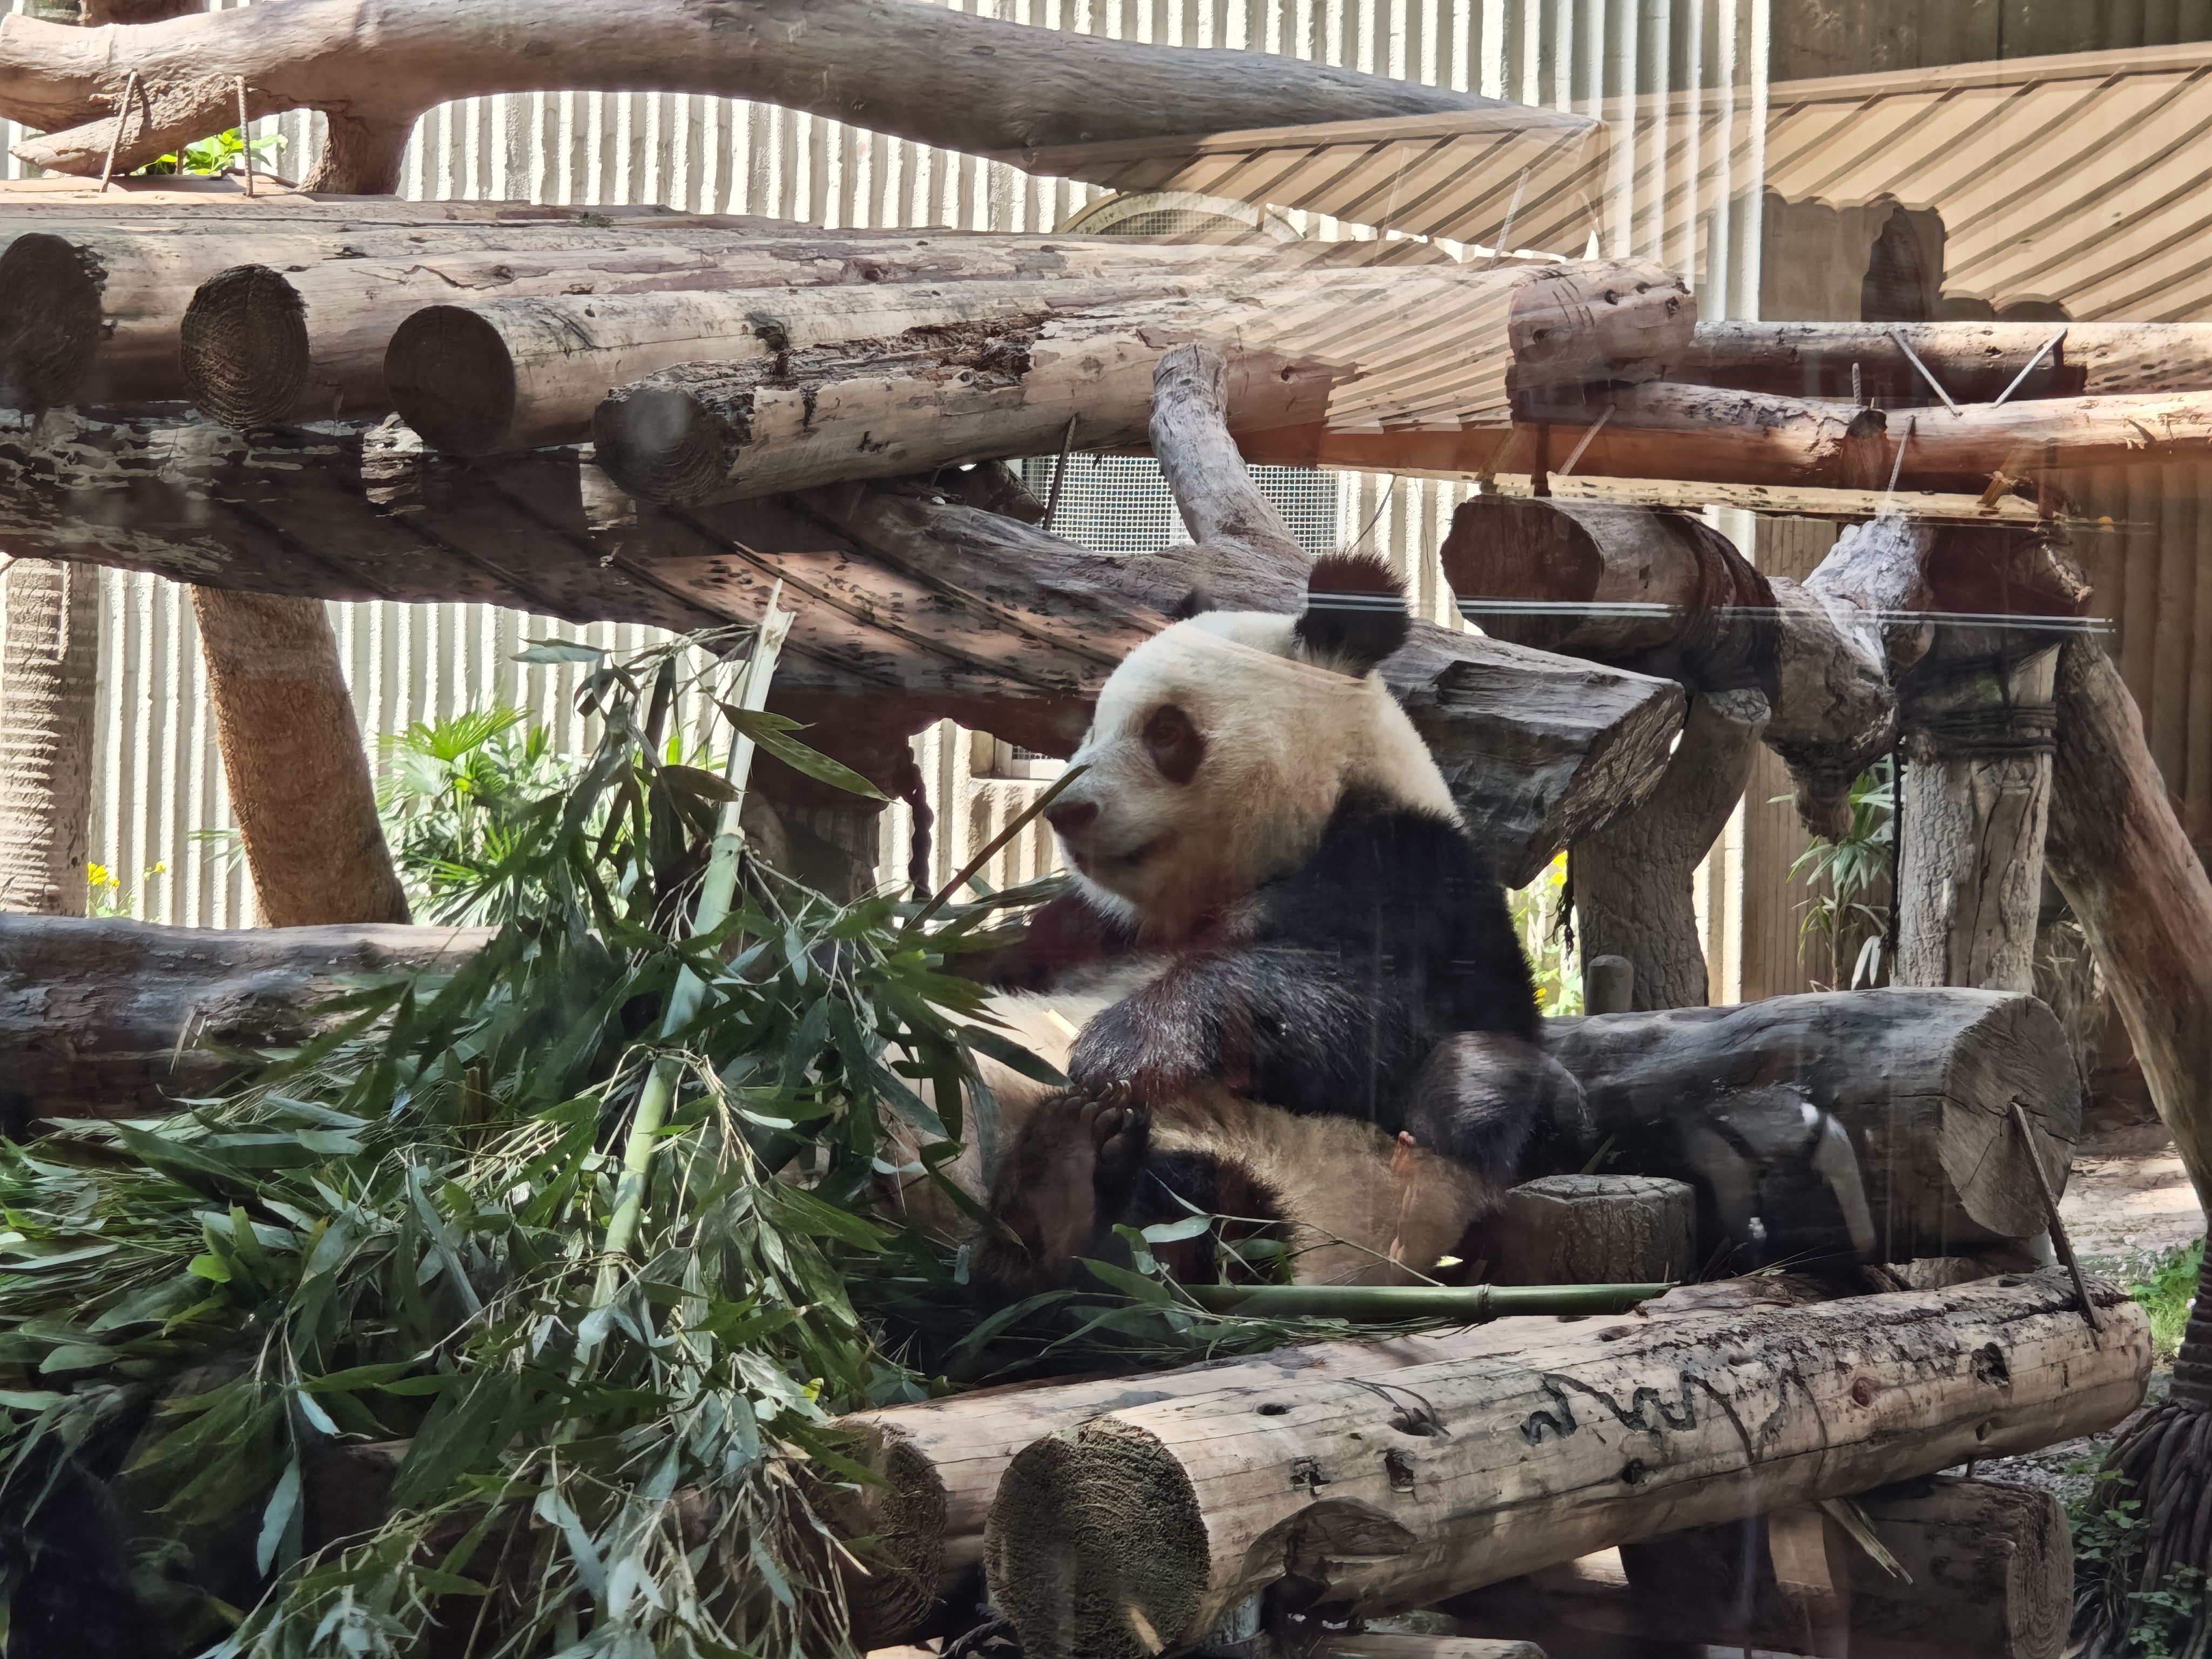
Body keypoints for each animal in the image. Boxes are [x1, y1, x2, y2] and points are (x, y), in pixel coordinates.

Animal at [880, 552, 1585, 1291]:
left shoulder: (1419, 886)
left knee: (1180, 1231)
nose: (1068, 810)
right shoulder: (1092, 927)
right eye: (1093, 727)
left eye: (1165, 731)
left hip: (1287, 1184)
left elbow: (1378, 1018)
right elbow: (989, 959)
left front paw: (1118, 1044)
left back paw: (1062, 1189)